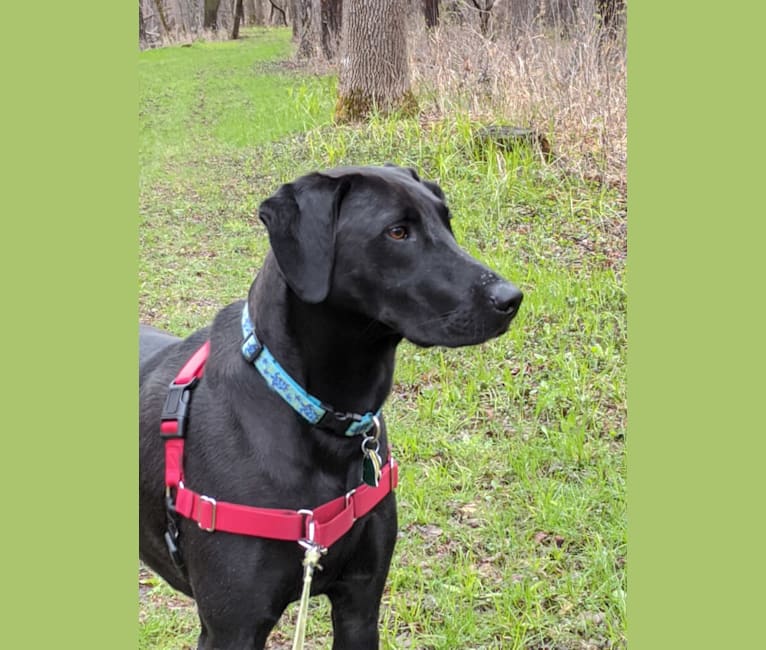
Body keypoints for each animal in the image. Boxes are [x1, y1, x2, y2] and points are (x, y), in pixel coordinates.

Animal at [140, 166, 520, 648]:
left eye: (446, 221)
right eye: (398, 232)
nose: (511, 298)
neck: (324, 420)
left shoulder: (360, 604)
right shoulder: (232, 629)